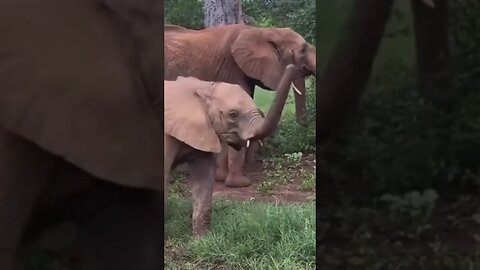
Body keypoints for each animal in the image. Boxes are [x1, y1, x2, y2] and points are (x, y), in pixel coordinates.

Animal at [163, 23, 316, 188]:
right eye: (302, 50)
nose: (296, 68)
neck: (263, 31)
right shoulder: (231, 71)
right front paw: (240, 184)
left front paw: (221, 178)